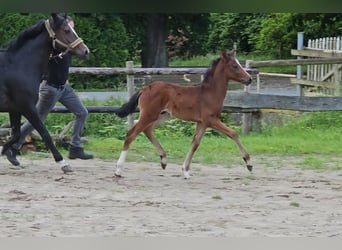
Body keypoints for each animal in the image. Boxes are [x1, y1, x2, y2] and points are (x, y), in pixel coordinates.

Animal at [114, 49, 251, 179]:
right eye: (234, 66)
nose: (249, 79)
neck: (210, 93)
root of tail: (145, 88)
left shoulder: (202, 122)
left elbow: (195, 143)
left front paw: (185, 171)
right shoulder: (211, 120)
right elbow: (233, 133)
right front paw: (249, 163)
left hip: (163, 115)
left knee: (147, 130)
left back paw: (163, 160)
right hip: (149, 115)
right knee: (131, 134)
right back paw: (118, 170)